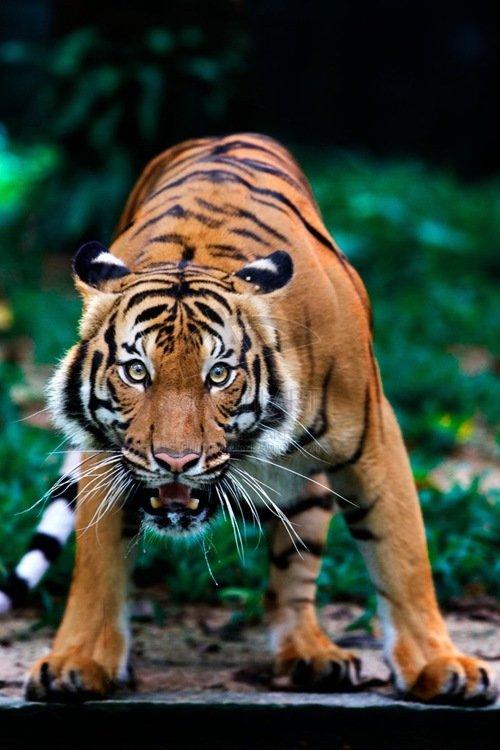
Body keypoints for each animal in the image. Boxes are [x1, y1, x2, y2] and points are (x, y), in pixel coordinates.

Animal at [17, 133, 495, 704]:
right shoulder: (105, 457)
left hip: (307, 486)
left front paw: (439, 666)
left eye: (219, 374)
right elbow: (97, 564)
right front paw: (79, 661)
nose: (175, 461)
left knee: (295, 570)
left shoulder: (375, 438)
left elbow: (403, 557)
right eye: (136, 371)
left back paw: (311, 654)